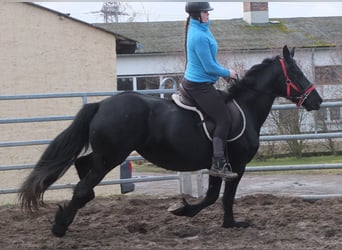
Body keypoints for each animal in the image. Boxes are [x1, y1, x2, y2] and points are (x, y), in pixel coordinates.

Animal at [18, 45, 324, 236]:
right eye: (296, 73)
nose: (317, 101)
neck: (245, 106)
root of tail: (102, 104)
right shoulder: (236, 165)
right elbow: (223, 197)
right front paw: (221, 221)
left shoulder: (218, 164)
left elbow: (213, 196)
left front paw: (190, 212)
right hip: (112, 155)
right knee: (83, 187)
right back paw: (60, 226)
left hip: (107, 154)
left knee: (83, 167)